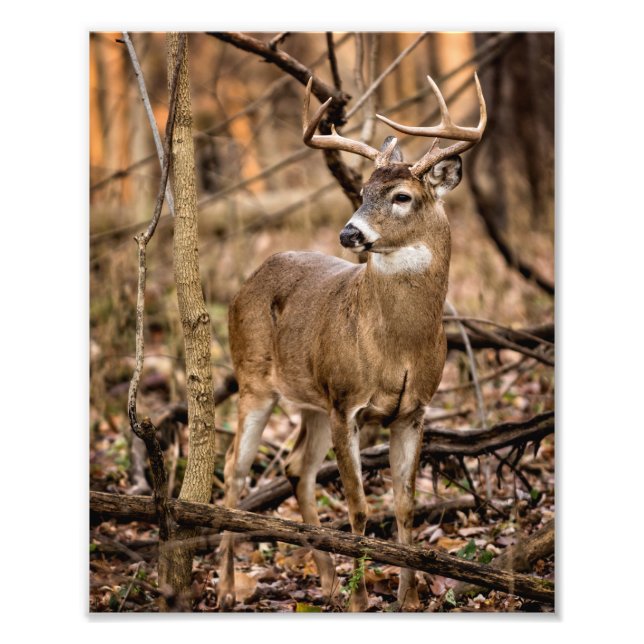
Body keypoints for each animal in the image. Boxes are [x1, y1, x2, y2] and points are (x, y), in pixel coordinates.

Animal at [217, 73, 486, 612]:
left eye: (401, 196)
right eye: (361, 190)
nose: (349, 233)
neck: (398, 347)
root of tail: (248, 280)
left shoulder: (413, 410)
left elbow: (405, 507)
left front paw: (408, 598)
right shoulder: (348, 403)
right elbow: (360, 508)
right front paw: (363, 599)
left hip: (312, 402)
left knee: (297, 468)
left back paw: (326, 582)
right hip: (253, 377)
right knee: (235, 469)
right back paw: (227, 590)